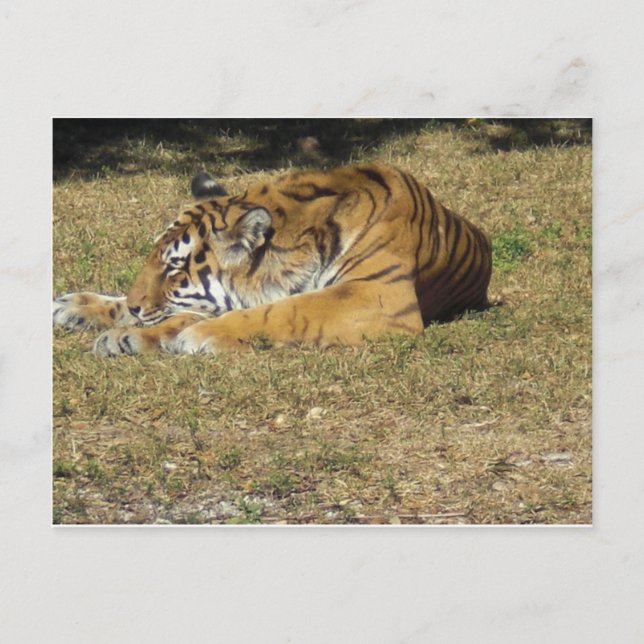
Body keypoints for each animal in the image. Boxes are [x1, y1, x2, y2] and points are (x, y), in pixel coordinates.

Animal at [53, 163, 492, 356]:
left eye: (175, 268)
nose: (134, 306)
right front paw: (106, 323)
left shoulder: (376, 296)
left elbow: (284, 311)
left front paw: (196, 336)